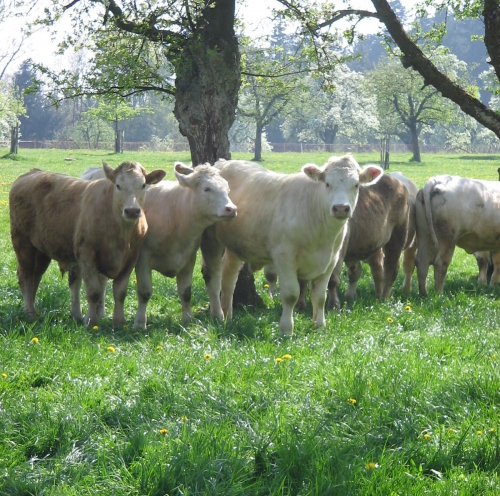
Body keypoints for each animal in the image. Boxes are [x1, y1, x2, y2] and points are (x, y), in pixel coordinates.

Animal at [9, 161, 166, 328]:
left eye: (143, 185)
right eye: (118, 185)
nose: (132, 211)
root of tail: (32, 173)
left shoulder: (131, 258)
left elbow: (120, 292)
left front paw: (119, 322)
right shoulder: (86, 255)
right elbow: (94, 291)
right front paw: (91, 321)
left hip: (41, 250)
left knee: (35, 276)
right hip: (22, 242)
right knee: (25, 276)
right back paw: (30, 314)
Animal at [199, 154, 382, 338]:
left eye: (356, 185)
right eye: (327, 184)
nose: (341, 208)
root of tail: (223, 162)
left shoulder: (331, 260)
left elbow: (320, 296)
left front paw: (319, 326)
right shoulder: (284, 257)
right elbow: (291, 294)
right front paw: (286, 330)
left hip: (236, 246)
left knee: (229, 277)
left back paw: (228, 316)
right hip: (210, 240)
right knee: (213, 276)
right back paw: (218, 316)